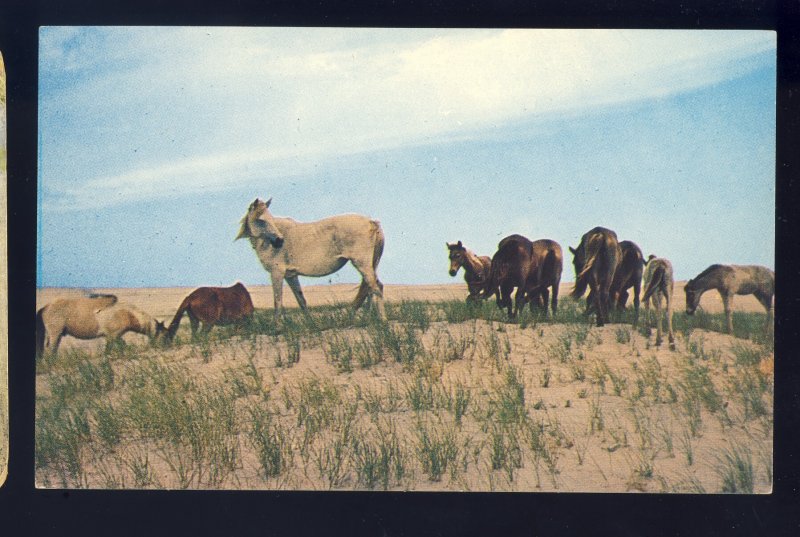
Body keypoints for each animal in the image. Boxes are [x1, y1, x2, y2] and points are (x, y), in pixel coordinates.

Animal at [35, 294, 166, 356]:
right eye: (164, 334)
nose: (165, 346)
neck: (127, 313)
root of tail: (46, 307)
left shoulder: (114, 336)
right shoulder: (113, 336)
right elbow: (111, 349)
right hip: (55, 334)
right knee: (51, 349)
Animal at [236, 199, 386, 320]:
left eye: (270, 219)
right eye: (261, 220)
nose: (279, 241)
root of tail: (371, 222)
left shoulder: (276, 273)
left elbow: (277, 301)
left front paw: (277, 327)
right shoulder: (291, 276)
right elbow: (301, 300)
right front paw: (310, 323)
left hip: (361, 263)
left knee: (375, 287)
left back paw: (382, 320)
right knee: (368, 287)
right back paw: (367, 318)